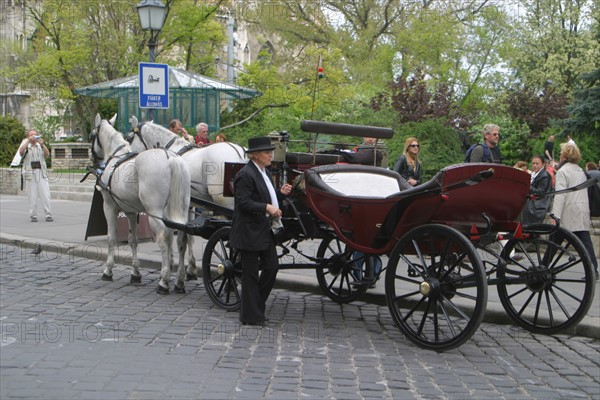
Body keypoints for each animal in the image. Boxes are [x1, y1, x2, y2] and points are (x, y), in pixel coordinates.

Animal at [91, 113, 191, 294]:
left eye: (91, 136)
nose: (94, 158)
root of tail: (170, 158)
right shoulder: (131, 212)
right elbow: (133, 240)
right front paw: (135, 273)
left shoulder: (109, 207)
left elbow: (111, 238)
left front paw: (108, 270)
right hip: (182, 209)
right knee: (181, 238)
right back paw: (179, 281)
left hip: (155, 212)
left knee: (164, 236)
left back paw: (164, 281)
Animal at [127, 115, 247, 278]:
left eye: (129, 138)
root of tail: (240, 152)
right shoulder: (188, 204)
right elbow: (188, 235)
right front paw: (190, 267)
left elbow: (175, 232)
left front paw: (173, 264)